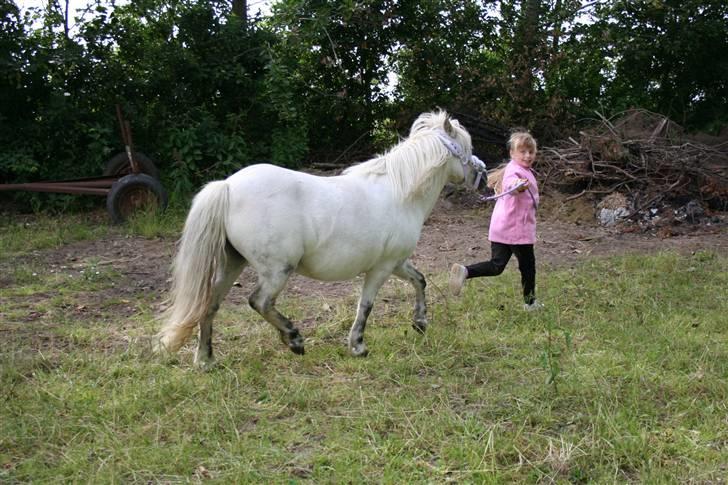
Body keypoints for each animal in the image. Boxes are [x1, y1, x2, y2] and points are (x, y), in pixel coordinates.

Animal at [153, 110, 484, 366]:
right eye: (464, 147)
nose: (480, 177)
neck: (400, 192)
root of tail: (228, 186)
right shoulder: (381, 268)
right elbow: (366, 305)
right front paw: (358, 346)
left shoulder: (398, 263)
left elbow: (420, 281)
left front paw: (420, 323)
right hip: (276, 270)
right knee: (259, 301)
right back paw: (294, 339)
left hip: (232, 264)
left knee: (209, 306)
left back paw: (206, 360)